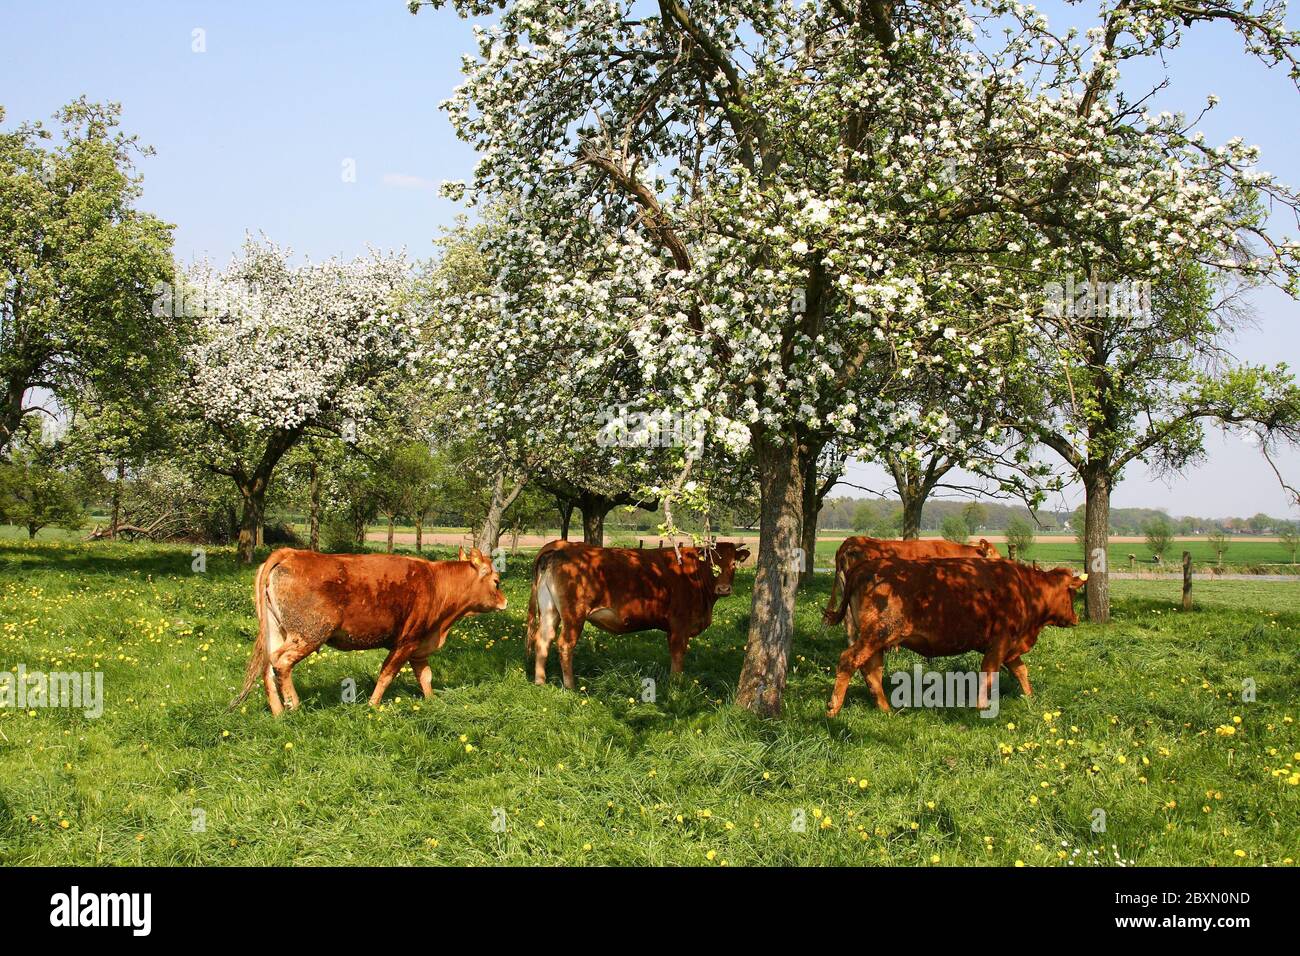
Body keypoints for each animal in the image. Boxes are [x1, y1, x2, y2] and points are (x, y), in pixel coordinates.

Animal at [231, 548, 504, 712]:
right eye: (497, 581)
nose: (505, 601)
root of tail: (292, 553)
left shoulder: (419, 644)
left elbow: (425, 676)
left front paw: (432, 701)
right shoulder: (406, 641)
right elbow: (386, 674)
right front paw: (373, 706)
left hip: (277, 631)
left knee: (267, 667)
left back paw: (278, 712)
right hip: (309, 633)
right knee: (281, 662)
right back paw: (294, 705)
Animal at [527, 538, 754, 686]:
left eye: (733, 563)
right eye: (713, 564)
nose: (723, 589)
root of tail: (560, 549)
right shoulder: (680, 622)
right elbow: (678, 653)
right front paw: (676, 684)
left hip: (550, 609)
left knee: (543, 639)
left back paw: (540, 682)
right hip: (574, 614)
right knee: (565, 644)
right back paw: (570, 686)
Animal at [821, 561, 1086, 717]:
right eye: (1072, 593)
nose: (1076, 618)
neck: (1025, 588)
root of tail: (865, 566)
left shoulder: (1010, 647)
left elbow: (1021, 671)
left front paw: (1029, 697)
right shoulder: (999, 642)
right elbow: (989, 673)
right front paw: (982, 707)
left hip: (877, 639)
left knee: (871, 670)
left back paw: (885, 709)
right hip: (877, 634)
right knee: (849, 661)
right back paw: (834, 709)